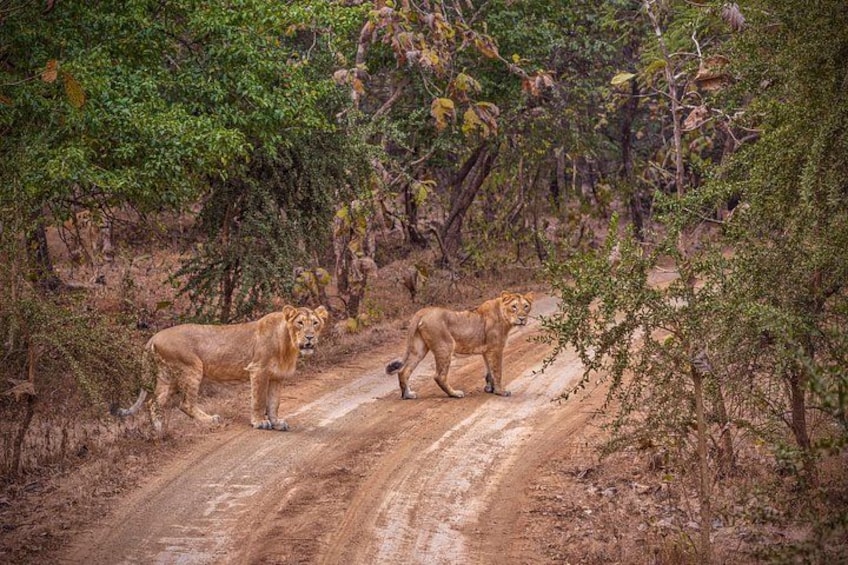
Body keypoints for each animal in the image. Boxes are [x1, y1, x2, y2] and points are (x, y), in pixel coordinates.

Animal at [112, 305, 329, 433]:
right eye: (300, 323)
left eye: (315, 323)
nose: (310, 337)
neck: (288, 344)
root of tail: (154, 337)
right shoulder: (258, 370)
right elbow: (259, 400)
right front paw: (259, 422)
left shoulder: (277, 377)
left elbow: (274, 403)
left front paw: (276, 422)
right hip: (191, 368)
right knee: (185, 404)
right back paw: (210, 420)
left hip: (168, 377)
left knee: (154, 402)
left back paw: (159, 430)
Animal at [386, 291, 533, 399]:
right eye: (514, 306)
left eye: (526, 306)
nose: (522, 318)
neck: (504, 316)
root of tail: (423, 311)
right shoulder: (495, 349)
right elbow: (497, 371)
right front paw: (500, 392)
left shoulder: (487, 351)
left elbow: (489, 372)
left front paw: (489, 389)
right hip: (445, 346)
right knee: (439, 376)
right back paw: (455, 394)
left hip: (419, 348)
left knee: (404, 371)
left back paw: (407, 395)